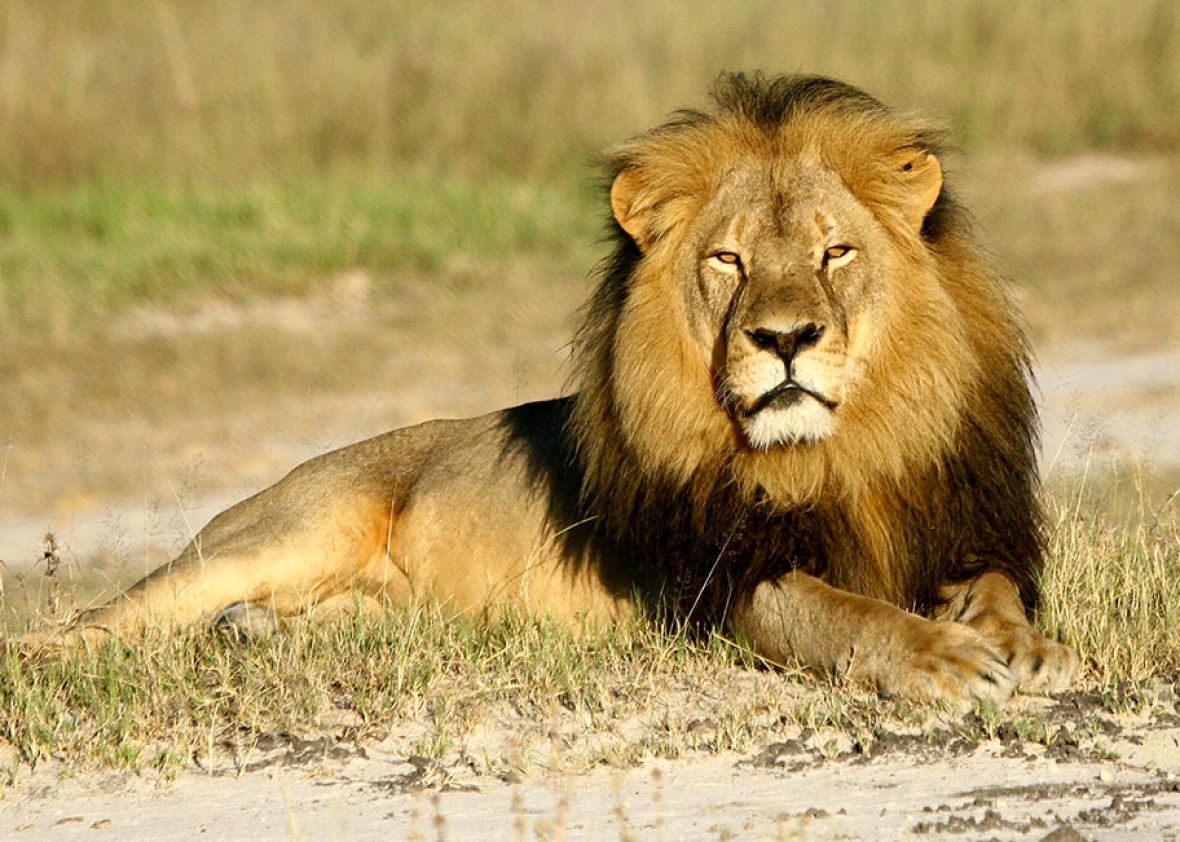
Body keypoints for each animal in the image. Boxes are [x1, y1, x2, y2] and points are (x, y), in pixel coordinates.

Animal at [29, 72, 1080, 702]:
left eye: (835, 252)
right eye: (729, 261)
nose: (785, 339)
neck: (836, 453)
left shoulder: (959, 522)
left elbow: (994, 586)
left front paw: (1023, 645)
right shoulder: (719, 582)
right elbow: (842, 612)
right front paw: (943, 659)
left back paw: (254, 637)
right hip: (283, 530)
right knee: (101, 618)